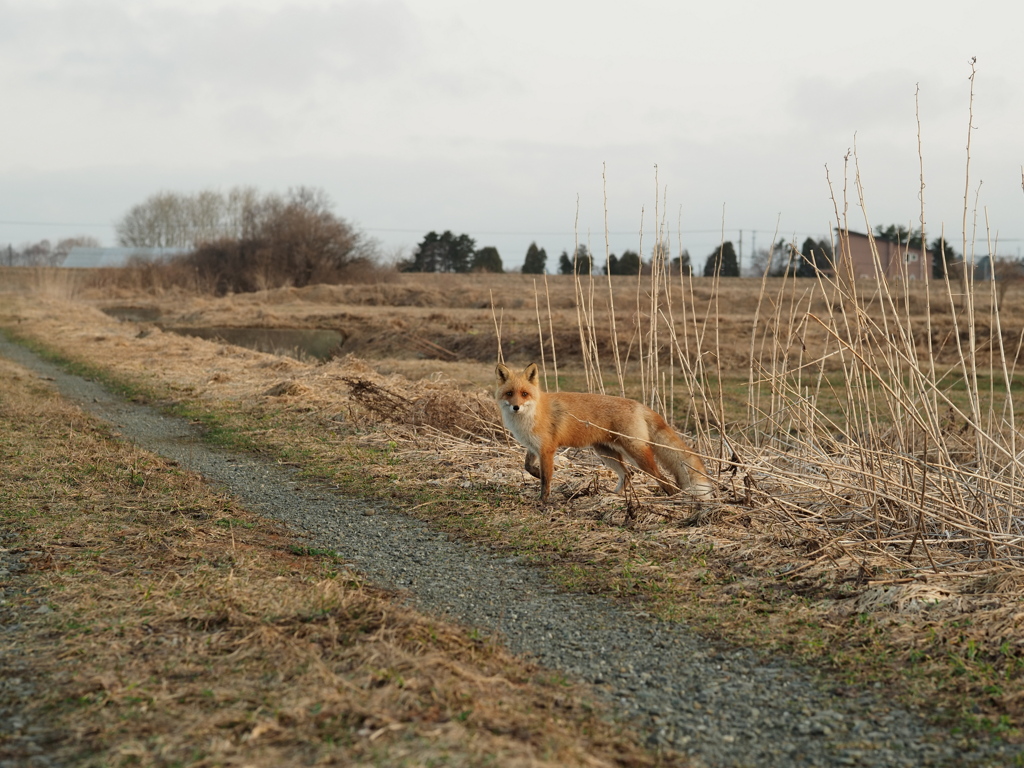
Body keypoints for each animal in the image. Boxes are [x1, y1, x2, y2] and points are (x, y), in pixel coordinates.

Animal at [495, 362, 712, 505]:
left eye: (524, 394)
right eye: (509, 393)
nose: (515, 407)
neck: (533, 414)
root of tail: (639, 405)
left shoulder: (547, 449)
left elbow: (546, 480)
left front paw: (543, 501)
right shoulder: (535, 447)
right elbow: (528, 468)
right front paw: (537, 475)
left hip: (636, 454)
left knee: (663, 478)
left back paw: (672, 498)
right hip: (606, 453)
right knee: (628, 474)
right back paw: (614, 496)